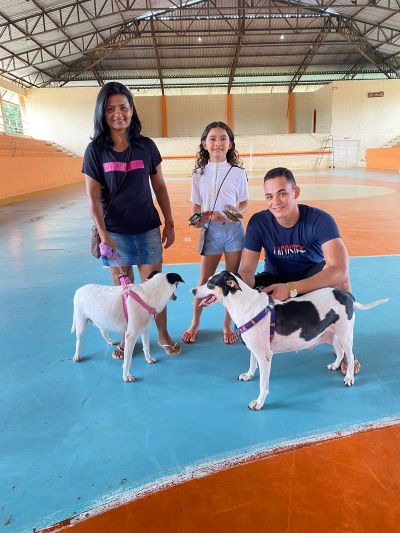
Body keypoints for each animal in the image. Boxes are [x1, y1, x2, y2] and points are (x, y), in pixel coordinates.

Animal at [194, 271, 388, 410]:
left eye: (210, 282)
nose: (193, 290)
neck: (243, 304)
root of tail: (347, 295)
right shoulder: (255, 349)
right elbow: (251, 363)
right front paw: (248, 375)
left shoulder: (265, 356)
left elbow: (263, 384)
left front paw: (259, 403)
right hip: (330, 334)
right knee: (339, 352)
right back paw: (334, 365)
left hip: (345, 335)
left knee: (350, 354)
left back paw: (349, 377)